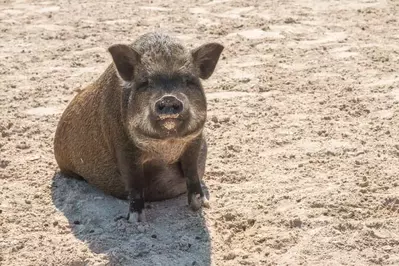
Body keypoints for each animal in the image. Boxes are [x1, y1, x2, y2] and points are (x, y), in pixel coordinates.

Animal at [52, 31, 225, 222]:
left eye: (189, 80)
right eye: (145, 83)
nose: (169, 98)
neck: (166, 147)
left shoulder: (195, 140)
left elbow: (192, 172)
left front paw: (201, 205)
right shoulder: (123, 145)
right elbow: (134, 181)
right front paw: (135, 219)